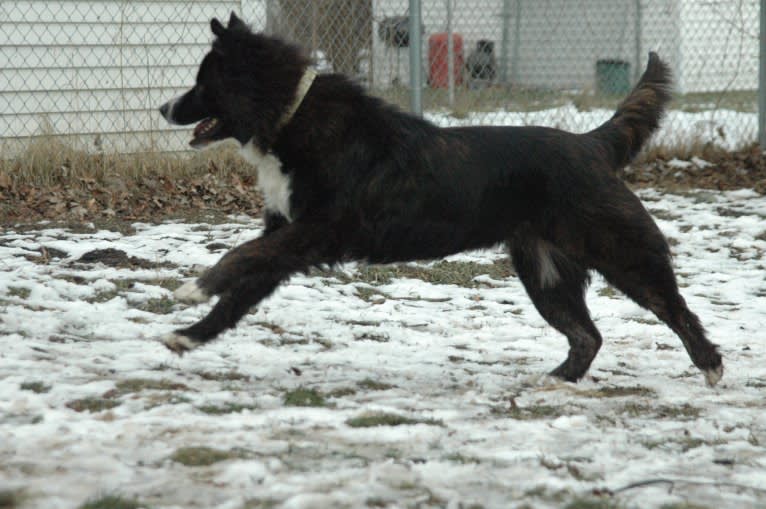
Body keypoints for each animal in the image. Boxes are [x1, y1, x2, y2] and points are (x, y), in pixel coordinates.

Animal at [159, 11, 724, 384]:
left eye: (203, 83)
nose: (164, 108)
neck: (291, 116)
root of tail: (590, 144)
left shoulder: (315, 232)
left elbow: (240, 257)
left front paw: (193, 288)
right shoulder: (290, 239)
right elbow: (240, 293)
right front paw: (190, 334)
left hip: (621, 253)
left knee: (675, 309)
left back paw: (711, 365)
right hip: (545, 273)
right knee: (588, 335)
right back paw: (558, 380)